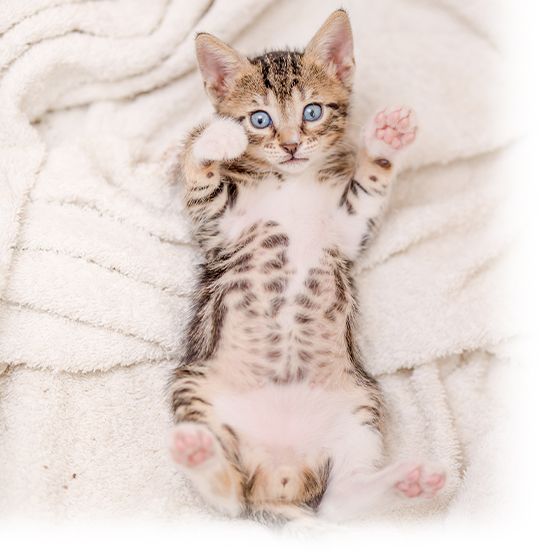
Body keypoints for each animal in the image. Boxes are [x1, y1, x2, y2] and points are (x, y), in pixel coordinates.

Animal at [168, 10, 444, 524]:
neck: (290, 181)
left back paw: (408, 481)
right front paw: (215, 138)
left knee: (337, 504)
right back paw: (199, 454)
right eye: (259, 119)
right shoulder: (216, 225)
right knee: (230, 499)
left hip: (359, 407)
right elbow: (198, 174)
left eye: (312, 111)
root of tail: (281, 475)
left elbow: (369, 188)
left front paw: (385, 142)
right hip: (196, 389)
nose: (293, 145)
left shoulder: (347, 228)